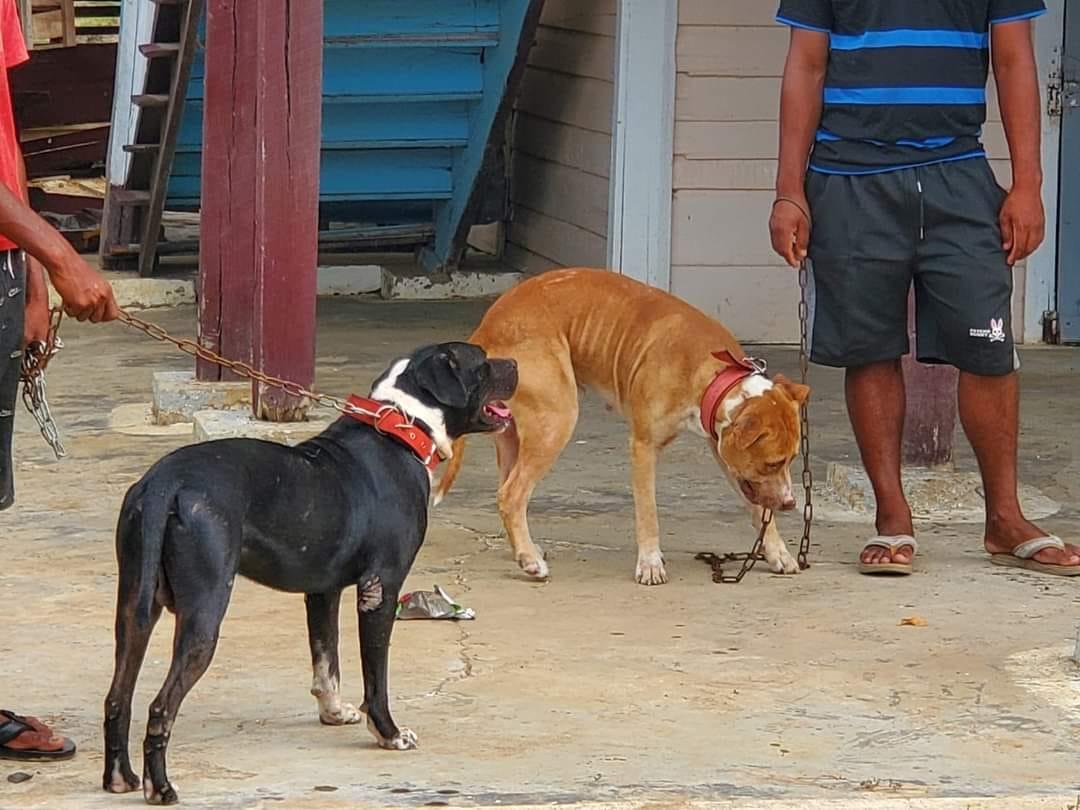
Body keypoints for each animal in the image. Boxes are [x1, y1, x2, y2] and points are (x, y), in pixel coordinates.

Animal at [103, 343, 516, 807]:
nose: (516, 364)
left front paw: (333, 713)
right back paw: (161, 787)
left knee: (118, 697)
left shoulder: (322, 592)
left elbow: (326, 660)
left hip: (134, 609)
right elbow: (376, 677)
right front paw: (388, 734)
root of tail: (164, 484)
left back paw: (120, 778)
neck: (401, 426)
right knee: (160, 706)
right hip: (203, 617)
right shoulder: (381, 589)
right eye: (481, 363)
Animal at [434, 270, 807, 587]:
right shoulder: (643, 446)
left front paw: (777, 552)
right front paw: (651, 563)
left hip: (514, 435)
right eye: (773, 462)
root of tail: (489, 325)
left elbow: (758, 509)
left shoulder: (724, 451)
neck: (713, 373)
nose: (791, 503)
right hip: (557, 419)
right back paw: (530, 562)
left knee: (507, 493)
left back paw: (525, 553)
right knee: (512, 495)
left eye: (791, 460)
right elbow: (648, 511)